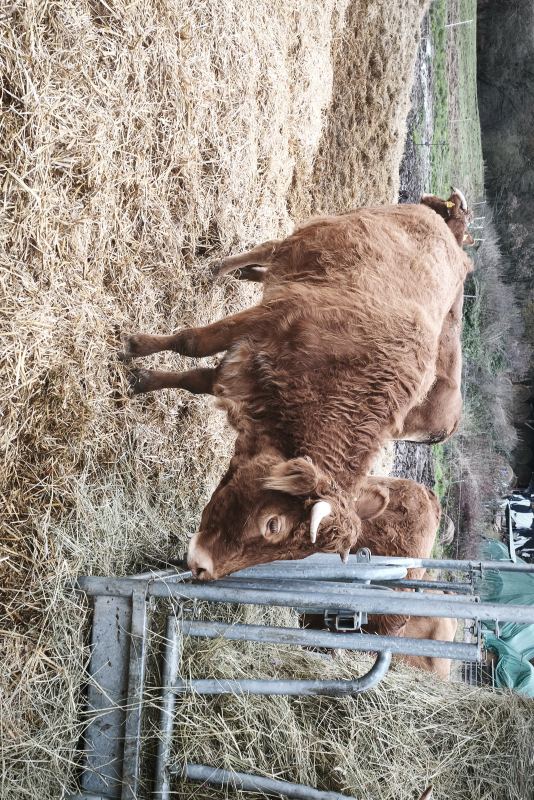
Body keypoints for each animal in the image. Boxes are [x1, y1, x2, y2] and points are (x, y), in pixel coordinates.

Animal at [121, 203, 473, 579]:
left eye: (293, 556)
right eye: (273, 524)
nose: (203, 569)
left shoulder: (247, 376)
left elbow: (196, 379)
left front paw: (143, 379)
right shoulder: (263, 321)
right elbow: (190, 342)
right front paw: (134, 348)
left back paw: (241, 274)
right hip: (302, 242)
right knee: (270, 247)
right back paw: (218, 269)